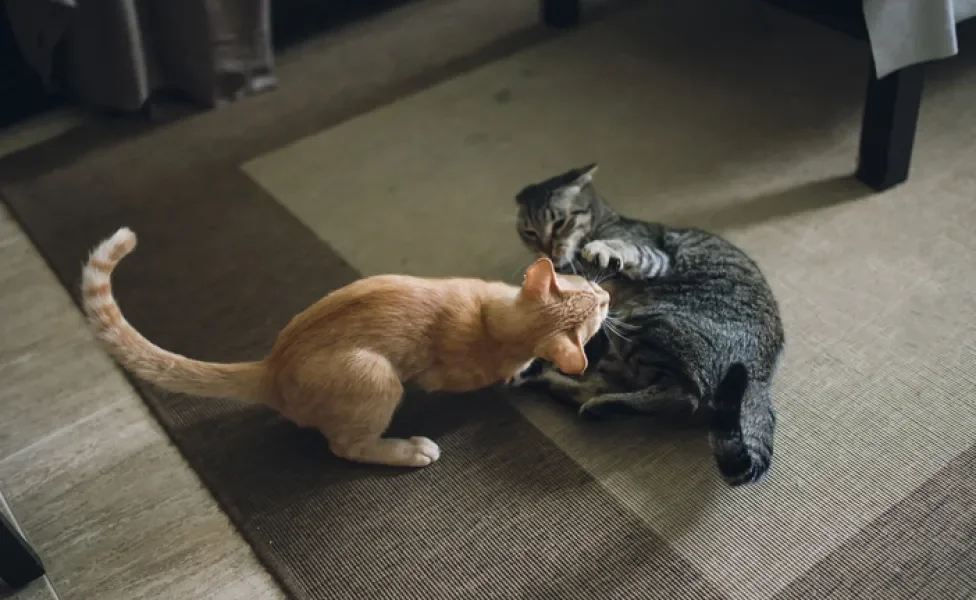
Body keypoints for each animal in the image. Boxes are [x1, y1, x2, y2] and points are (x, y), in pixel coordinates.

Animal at [84, 227, 608, 466]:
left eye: (589, 290)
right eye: (594, 303)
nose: (606, 295)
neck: (491, 323)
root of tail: (270, 365)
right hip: (376, 377)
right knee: (345, 447)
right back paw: (408, 450)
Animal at [516, 165, 780, 488]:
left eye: (560, 222)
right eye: (529, 232)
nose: (548, 251)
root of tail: (760, 376)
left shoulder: (654, 259)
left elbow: (630, 251)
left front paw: (603, 249)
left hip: (643, 322)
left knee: (682, 397)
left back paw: (594, 403)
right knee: (605, 384)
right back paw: (551, 382)